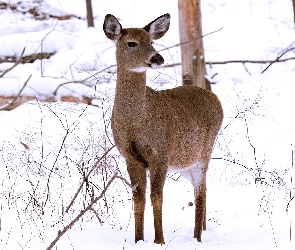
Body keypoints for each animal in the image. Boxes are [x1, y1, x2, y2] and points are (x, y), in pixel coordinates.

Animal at [103, 13, 223, 244]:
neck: (135, 122)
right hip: (185, 161)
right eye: (131, 43)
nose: (158, 58)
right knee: (204, 188)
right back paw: (203, 230)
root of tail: (216, 99)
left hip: (204, 152)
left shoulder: (160, 153)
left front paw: (159, 240)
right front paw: (138, 240)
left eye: (152, 41)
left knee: (200, 193)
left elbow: (156, 197)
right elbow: (138, 198)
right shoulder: (130, 157)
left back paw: (197, 238)